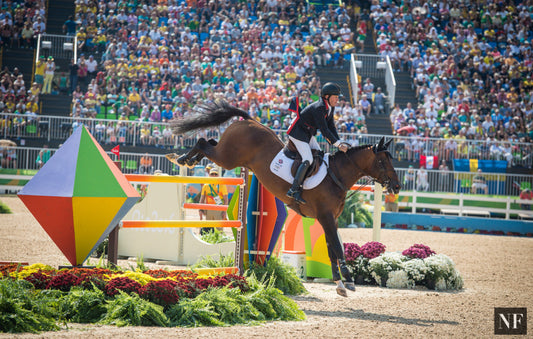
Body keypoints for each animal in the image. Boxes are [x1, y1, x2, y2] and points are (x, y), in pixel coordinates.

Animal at [167, 99, 400, 296]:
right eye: (382, 162)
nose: (397, 187)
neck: (336, 175)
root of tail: (248, 120)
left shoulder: (330, 219)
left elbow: (332, 248)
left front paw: (339, 283)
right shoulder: (325, 216)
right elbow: (336, 245)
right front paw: (349, 281)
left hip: (226, 155)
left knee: (209, 141)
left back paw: (186, 159)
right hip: (227, 158)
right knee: (202, 141)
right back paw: (181, 158)